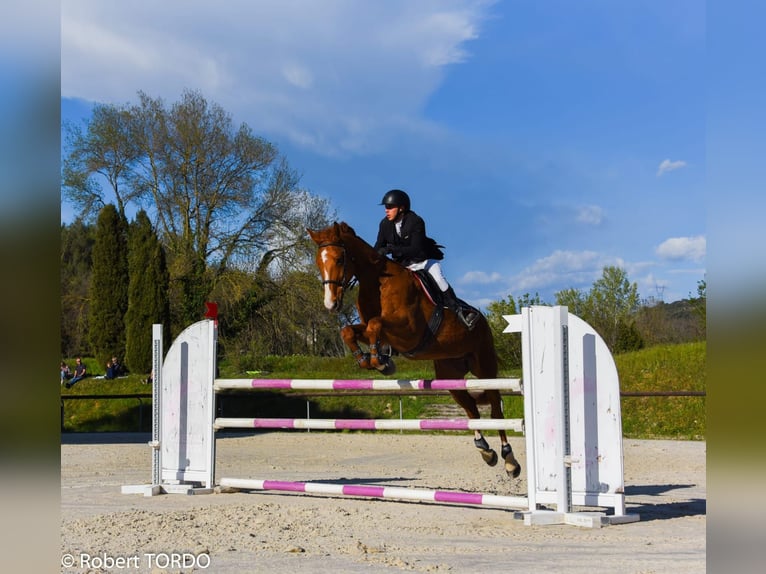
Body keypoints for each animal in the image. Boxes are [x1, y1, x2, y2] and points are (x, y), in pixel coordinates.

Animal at [308, 223, 524, 480]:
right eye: (318, 262)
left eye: (340, 259)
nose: (330, 304)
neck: (378, 282)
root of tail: (482, 320)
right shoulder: (375, 329)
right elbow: (350, 331)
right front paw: (369, 359)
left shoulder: (409, 331)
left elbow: (375, 325)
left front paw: (379, 360)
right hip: (450, 376)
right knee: (472, 410)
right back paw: (485, 451)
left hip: (485, 367)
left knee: (495, 410)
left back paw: (510, 461)